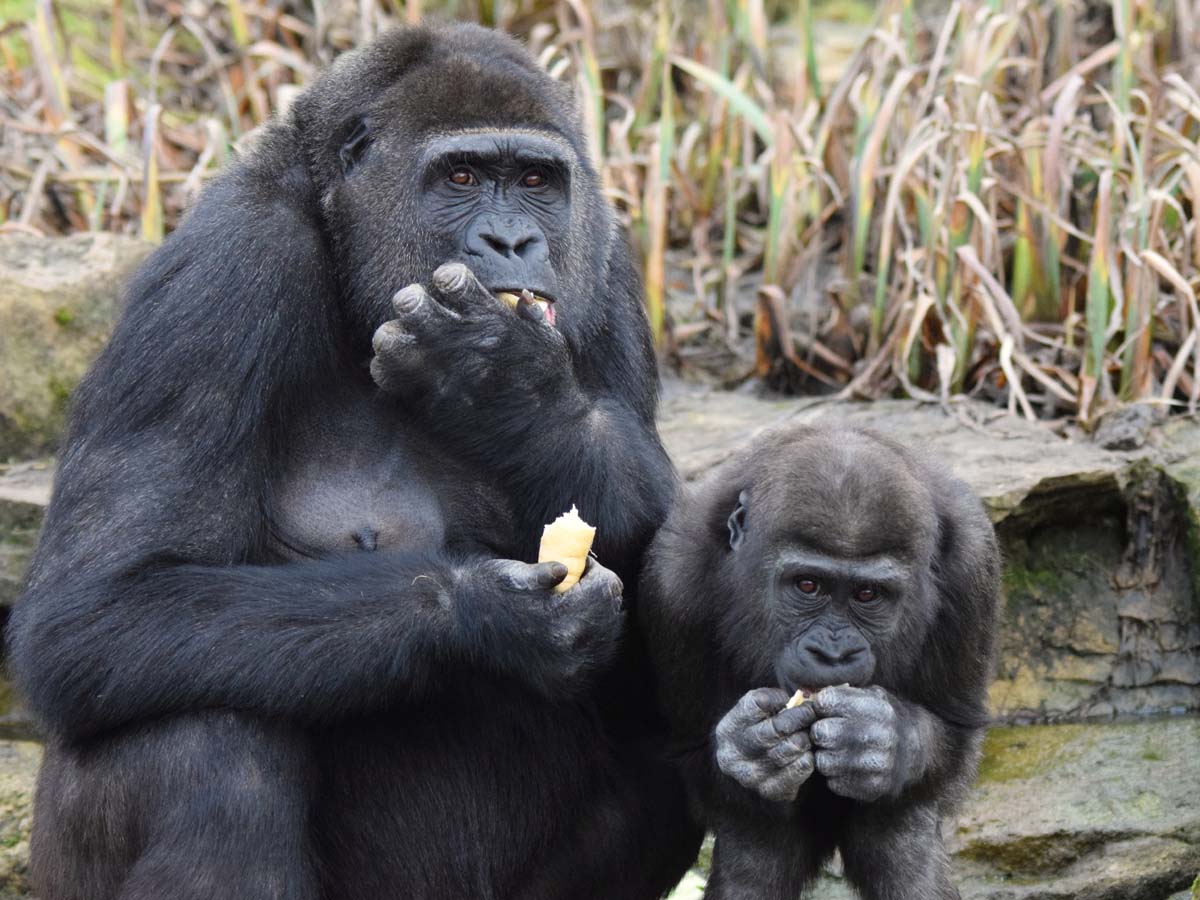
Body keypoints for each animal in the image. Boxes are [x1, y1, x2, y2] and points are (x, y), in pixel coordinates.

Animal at [9, 21, 700, 900]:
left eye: (536, 180)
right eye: (462, 176)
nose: (512, 241)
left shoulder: (601, 258)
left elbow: (661, 546)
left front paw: (503, 382)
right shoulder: (228, 262)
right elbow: (100, 605)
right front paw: (487, 613)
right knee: (206, 740)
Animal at [643, 427, 998, 897]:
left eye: (868, 594)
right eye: (807, 585)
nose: (833, 653)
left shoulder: (973, 564)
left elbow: (956, 729)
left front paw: (886, 739)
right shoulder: (673, 577)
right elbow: (690, 752)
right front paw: (751, 749)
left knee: (903, 841)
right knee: (756, 853)